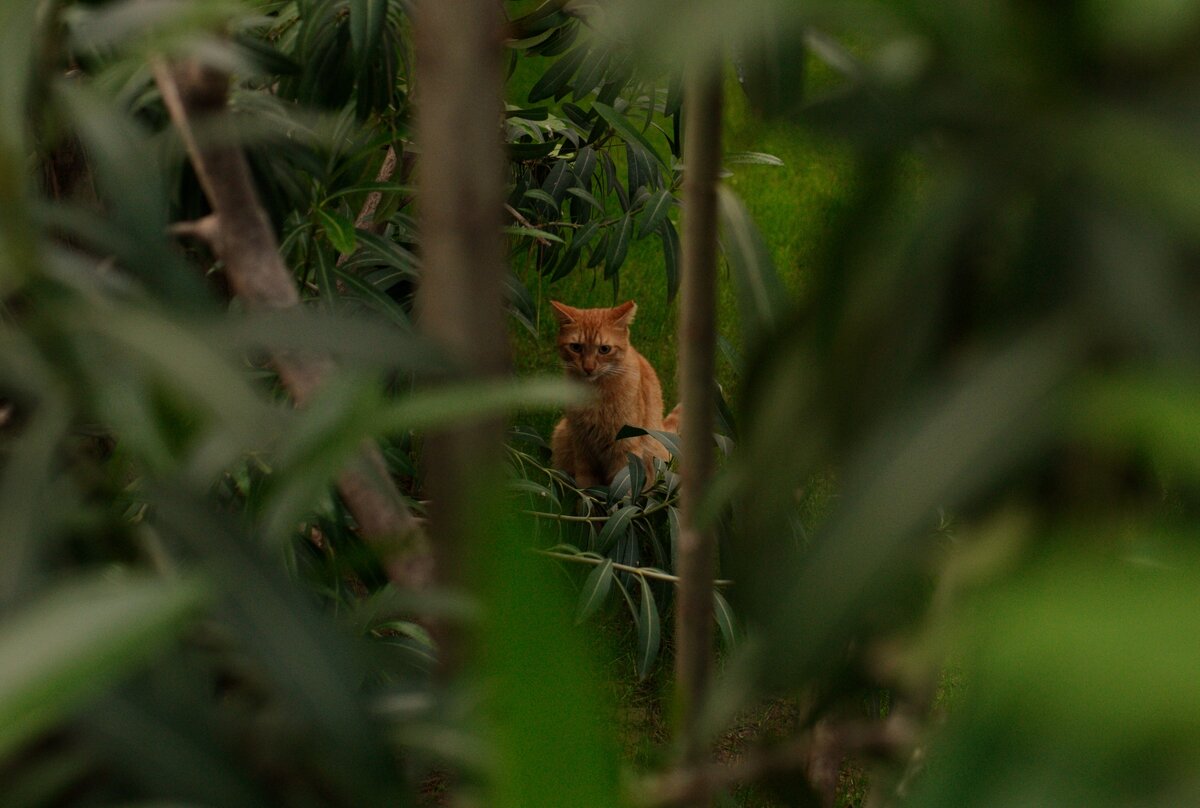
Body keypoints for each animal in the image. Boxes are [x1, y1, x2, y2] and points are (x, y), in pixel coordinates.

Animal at [549, 301, 676, 485]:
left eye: (604, 349)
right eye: (576, 347)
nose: (588, 368)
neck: (593, 394)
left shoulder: (625, 449)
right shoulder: (582, 447)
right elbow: (585, 485)